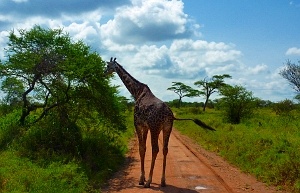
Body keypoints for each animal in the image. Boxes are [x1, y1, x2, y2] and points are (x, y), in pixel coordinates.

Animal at [104, 57, 214, 187]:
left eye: (108, 65)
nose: (104, 73)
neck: (137, 92)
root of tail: (170, 114)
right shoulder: (146, 127)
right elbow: (144, 148)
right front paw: (144, 177)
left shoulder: (138, 124)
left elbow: (142, 148)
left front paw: (142, 179)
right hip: (167, 128)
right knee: (165, 149)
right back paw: (162, 181)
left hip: (155, 128)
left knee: (155, 149)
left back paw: (149, 181)